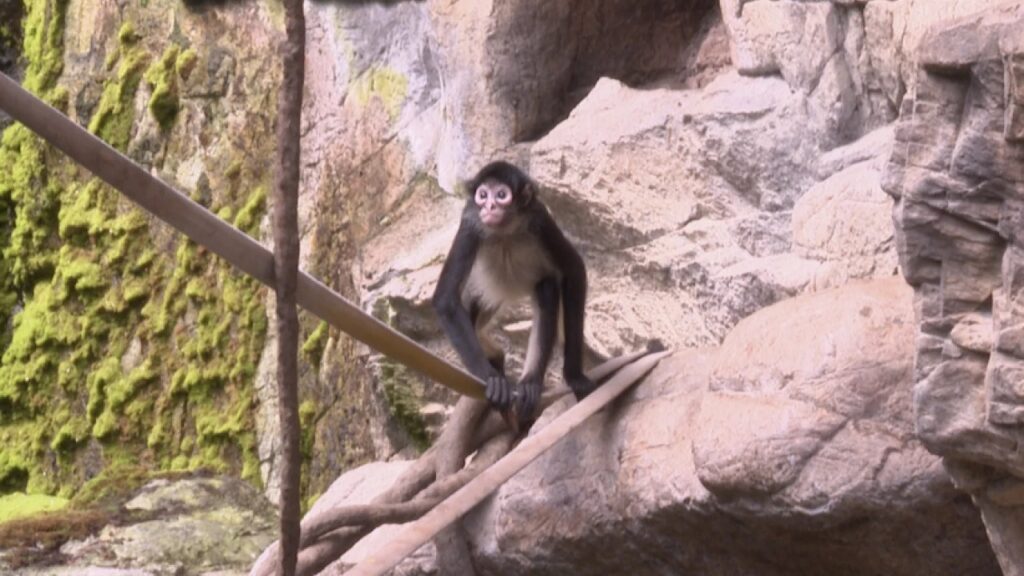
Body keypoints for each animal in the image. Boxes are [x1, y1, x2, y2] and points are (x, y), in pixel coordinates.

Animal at [432, 160, 596, 430]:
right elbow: (445, 301)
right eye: (483, 195)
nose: (489, 206)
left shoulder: (539, 218)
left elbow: (574, 270)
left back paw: (530, 382)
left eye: (501, 195)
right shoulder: (470, 222)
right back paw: (496, 361)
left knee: (547, 287)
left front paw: (574, 376)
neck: (504, 232)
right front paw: (491, 378)